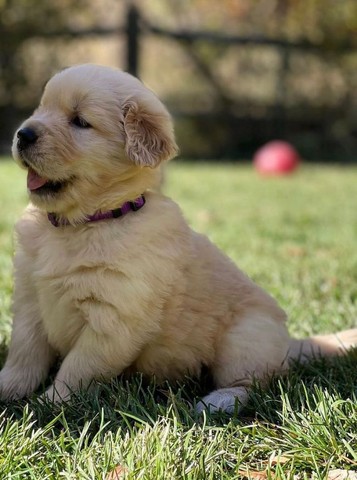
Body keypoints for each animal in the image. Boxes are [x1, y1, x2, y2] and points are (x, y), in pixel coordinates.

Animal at [0, 62, 356, 410]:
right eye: (42, 108)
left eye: (80, 121)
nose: (22, 134)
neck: (83, 222)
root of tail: (289, 343)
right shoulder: (30, 301)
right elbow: (24, 354)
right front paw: (8, 388)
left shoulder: (113, 321)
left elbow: (77, 369)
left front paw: (49, 404)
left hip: (246, 338)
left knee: (255, 384)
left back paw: (219, 401)